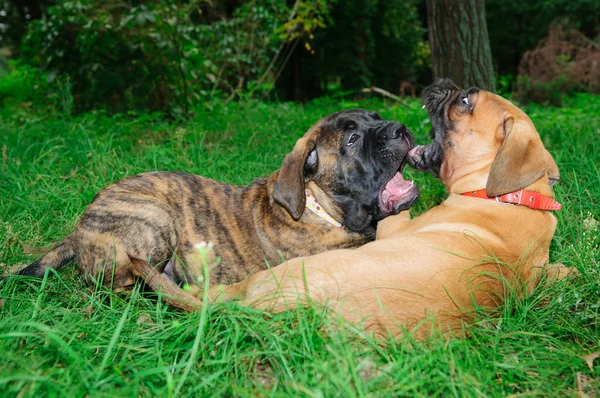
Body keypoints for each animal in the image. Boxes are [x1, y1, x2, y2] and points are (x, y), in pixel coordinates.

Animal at [19, 109, 422, 310]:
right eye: (352, 139)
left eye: (377, 117)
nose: (400, 128)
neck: (317, 206)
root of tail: (78, 228)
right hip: (155, 220)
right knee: (113, 287)